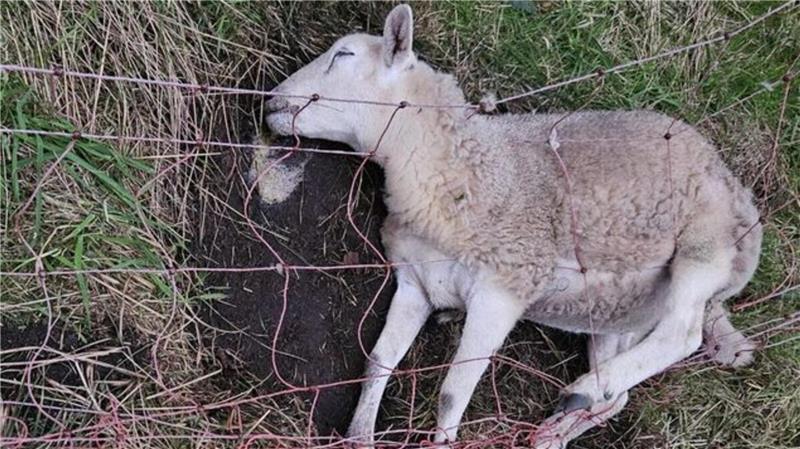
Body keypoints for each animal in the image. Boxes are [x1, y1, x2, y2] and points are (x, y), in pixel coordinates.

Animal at [265, 4, 762, 448]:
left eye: (344, 55)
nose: (271, 101)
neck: (459, 168)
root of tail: (742, 195)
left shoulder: (502, 291)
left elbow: (451, 393)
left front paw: (440, 442)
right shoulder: (416, 283)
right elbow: (379, 361)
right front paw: (359, 436)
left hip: (706, 243)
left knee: (682, 332)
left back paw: (583, 389)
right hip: (620, 314)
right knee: (617, 395)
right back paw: (561, 425)